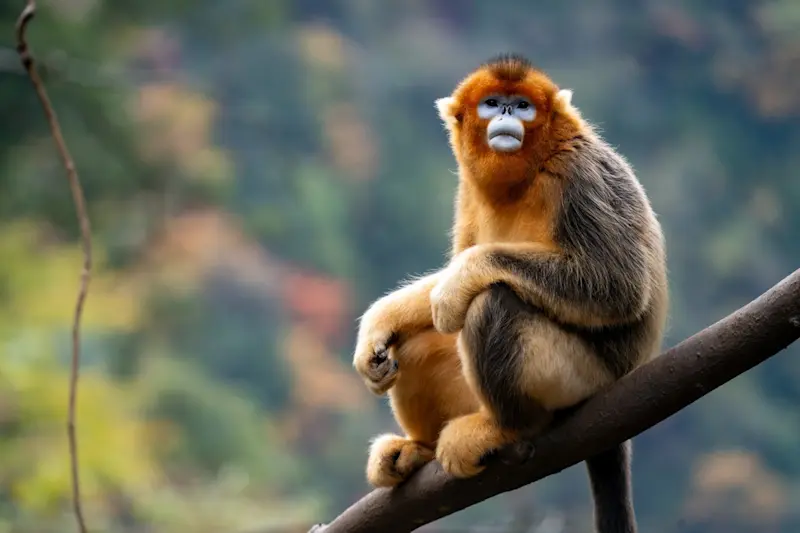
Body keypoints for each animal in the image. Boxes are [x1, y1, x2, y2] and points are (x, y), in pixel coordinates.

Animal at [353, 54, 668, 533]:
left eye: (522, 105)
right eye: (492, 103)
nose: (505, 113)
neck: (530, 171)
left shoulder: (579, 175)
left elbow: (619, 287)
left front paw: (462, 280)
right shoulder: (468, 193)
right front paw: (380, 322)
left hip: (582, 377)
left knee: (494, 303)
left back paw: (510, 429)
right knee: (415, 345)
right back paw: (417, 449)